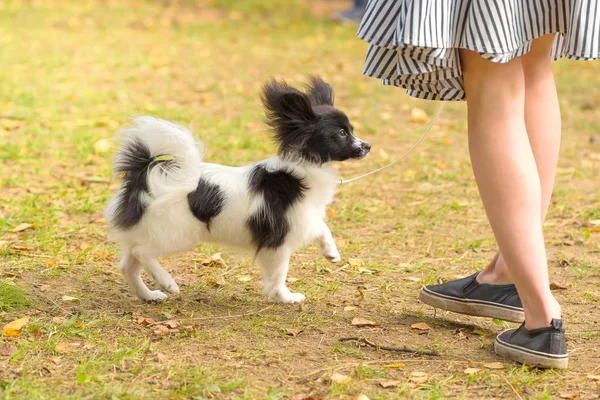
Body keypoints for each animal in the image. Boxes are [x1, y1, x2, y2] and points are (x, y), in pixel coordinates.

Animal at [105, 77, 372, 304]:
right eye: (341, 133)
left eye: (351, 129)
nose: (368, 146)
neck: (304, 170)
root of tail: (144, 173)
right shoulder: (279, 240)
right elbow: (279, 274)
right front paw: (286, 297)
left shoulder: (302, 219)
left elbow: (322, 227)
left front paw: (331, 252)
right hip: (177, 233)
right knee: (143, 252)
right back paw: (167, 283)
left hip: (147, 229)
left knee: (129, 265)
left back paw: (149, 295)